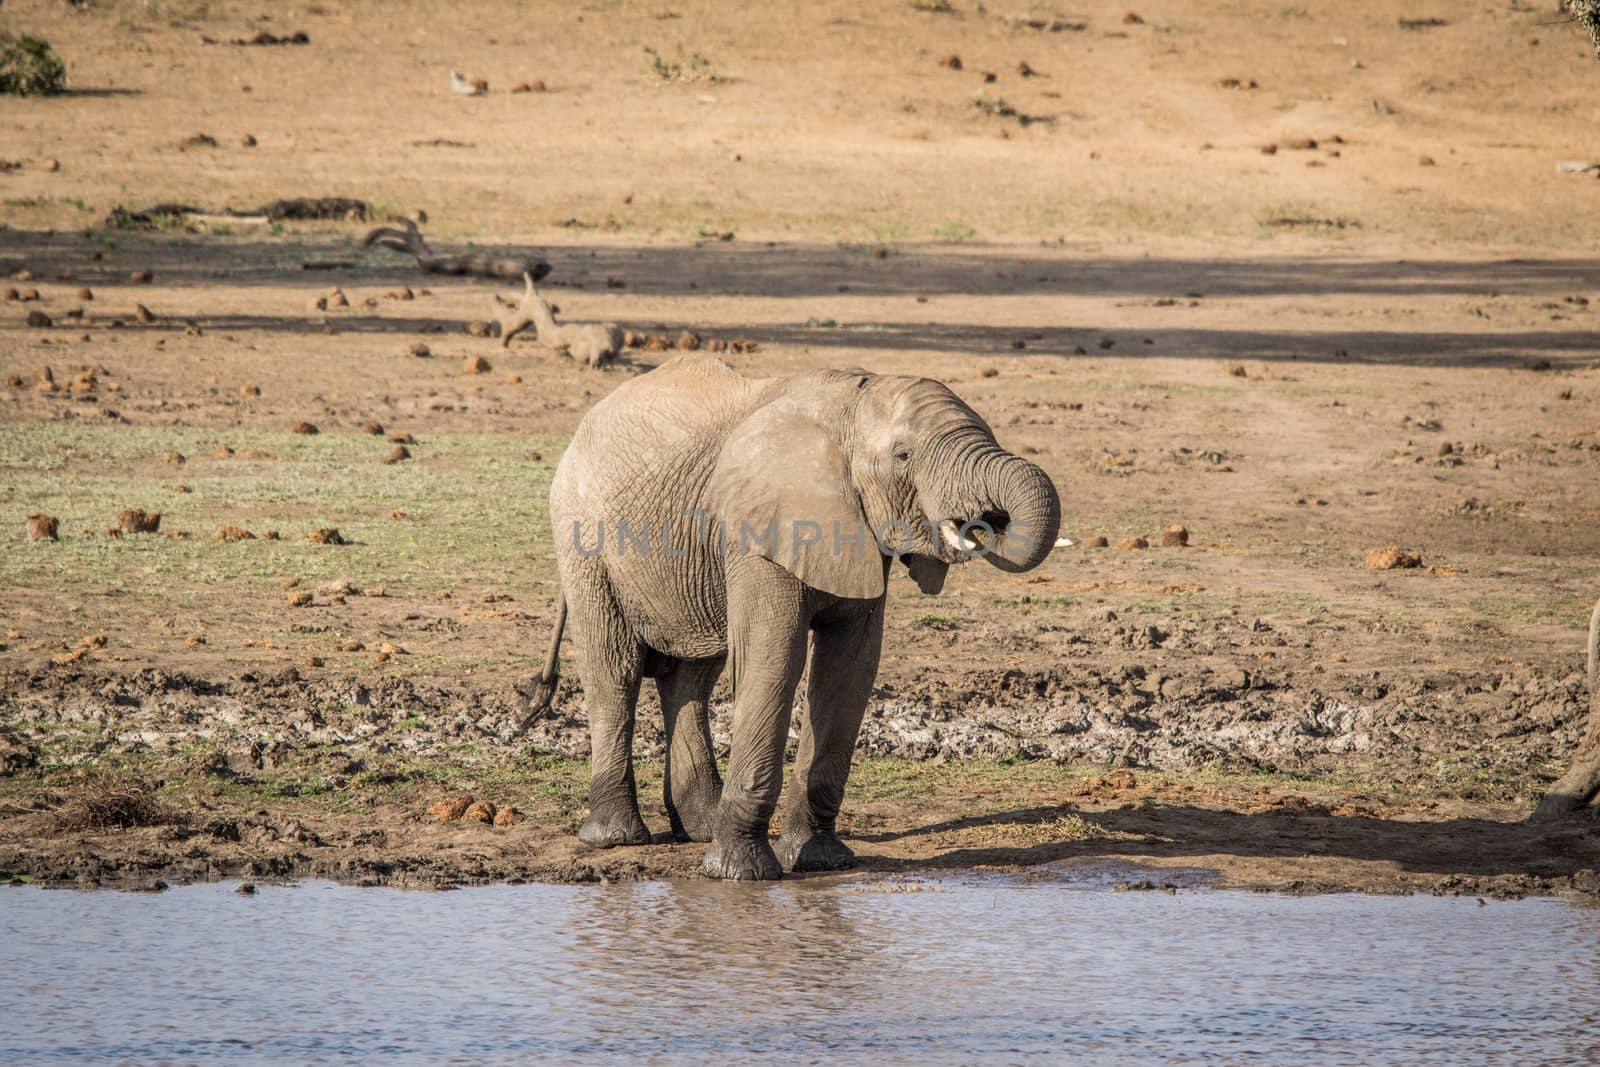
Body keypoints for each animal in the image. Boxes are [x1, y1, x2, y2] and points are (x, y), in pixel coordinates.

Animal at [518, 355, 1056, 883]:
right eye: (903, 457)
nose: (989, 520)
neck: (852, 402)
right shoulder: (758, 533)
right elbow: (774, 659)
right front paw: (740, 874)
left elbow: (849, 670)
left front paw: (822, 861)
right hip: (583, 540)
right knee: (616, 671)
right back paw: (617, 838)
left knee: (691, 679)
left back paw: (699, 827)